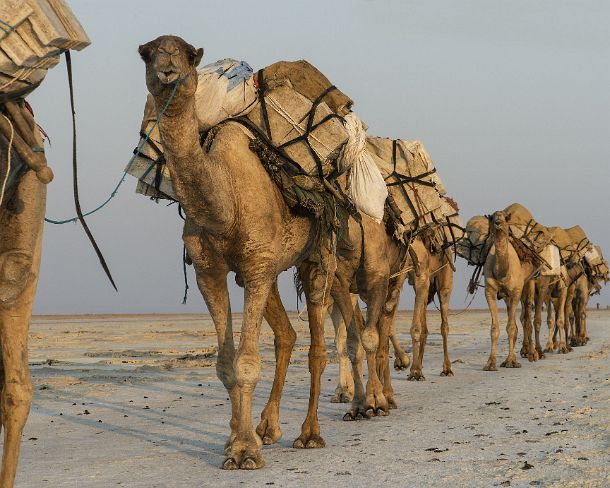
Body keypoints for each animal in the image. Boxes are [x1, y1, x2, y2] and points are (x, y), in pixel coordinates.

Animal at [480, 212, 536, 372]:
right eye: (492, 217)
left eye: (505, 218)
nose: (498, 223)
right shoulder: (490, 291)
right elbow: (495, 328)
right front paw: (490, 363)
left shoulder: (515, 291)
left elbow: (511, 327)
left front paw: (511, 361)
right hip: (507, 297)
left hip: (530, 282)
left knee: (528, 316)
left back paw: (533, 354)